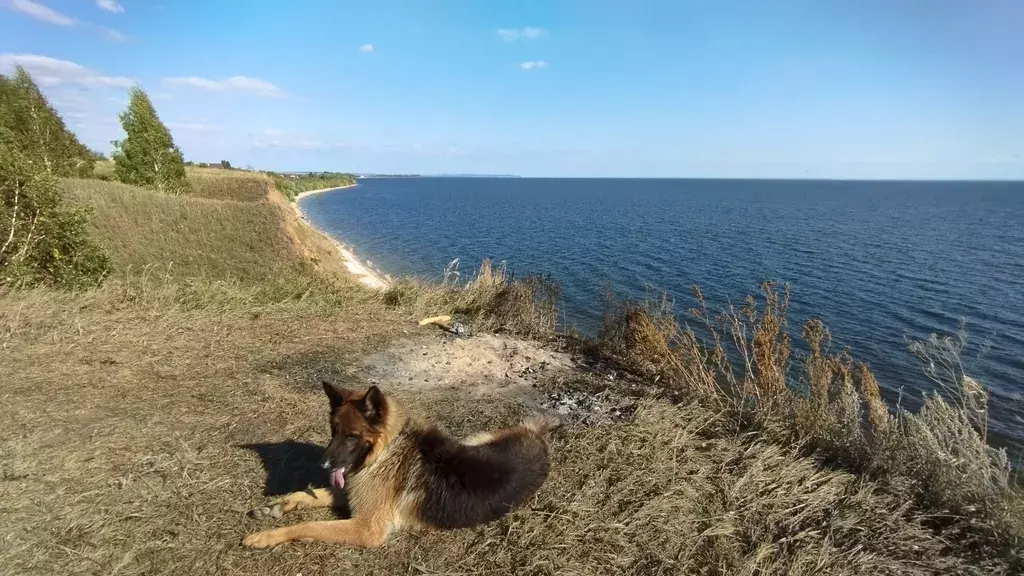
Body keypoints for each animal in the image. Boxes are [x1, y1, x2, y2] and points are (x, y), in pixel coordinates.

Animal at [242, 381, 557, 545]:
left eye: (352, 436)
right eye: (333, 432)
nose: (323, 466)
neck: (387, 451)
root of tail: (537, 437)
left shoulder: (366, 529)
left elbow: (309, 526)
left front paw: (268, 535)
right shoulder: (353, 490)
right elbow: (308, 495)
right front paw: (277, 507)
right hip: (474, 439)